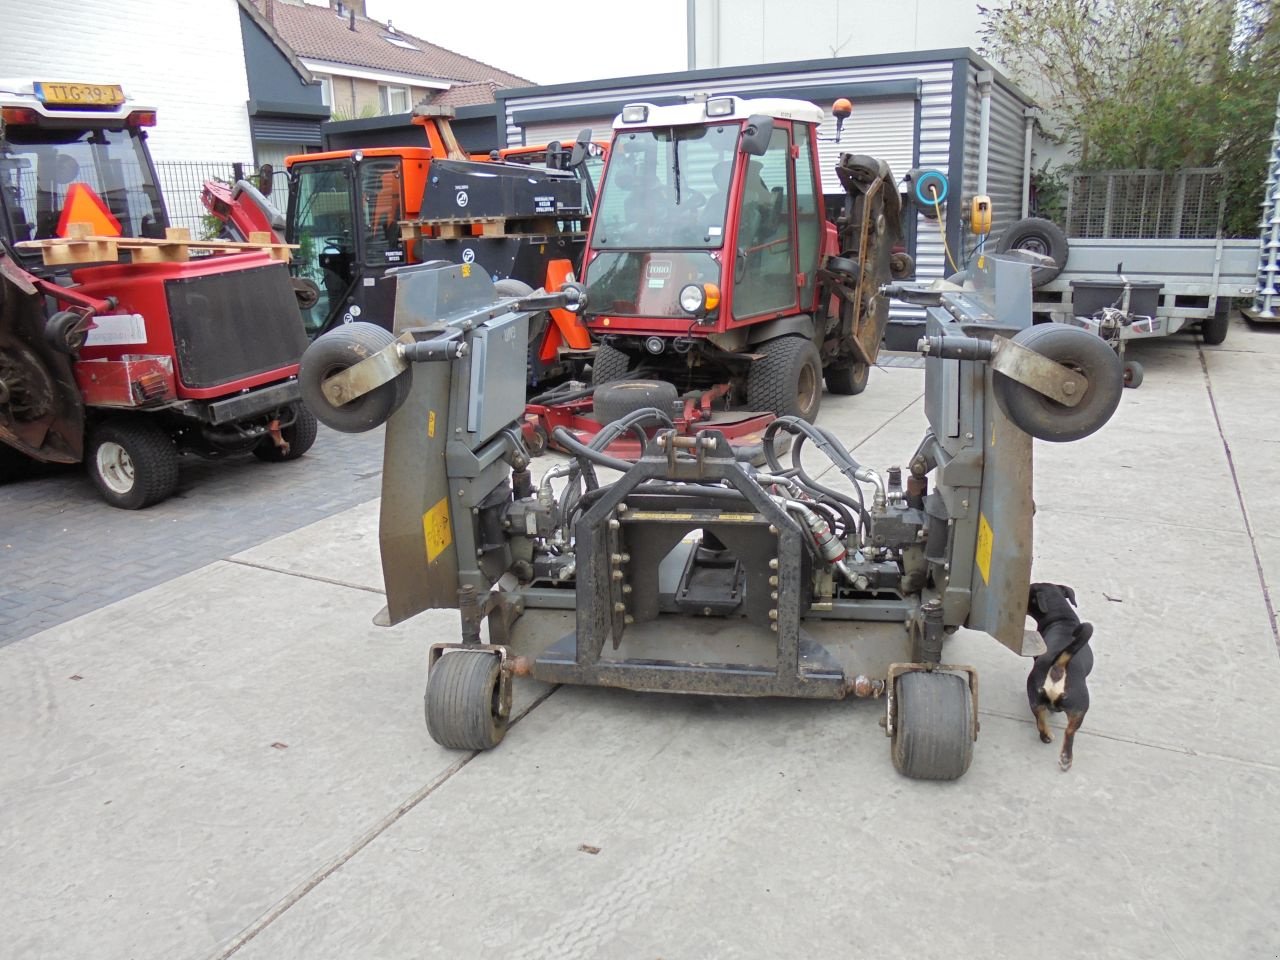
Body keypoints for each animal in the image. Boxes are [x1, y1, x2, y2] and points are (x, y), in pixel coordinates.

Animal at [1024, 583, 1095, 773]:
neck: (1061, 617)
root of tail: (1059, 665)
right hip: (1081, 706)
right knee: (1069, 732)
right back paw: (1066, 758)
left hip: (1035, 697)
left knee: (1040, 720)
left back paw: (1047, 737)